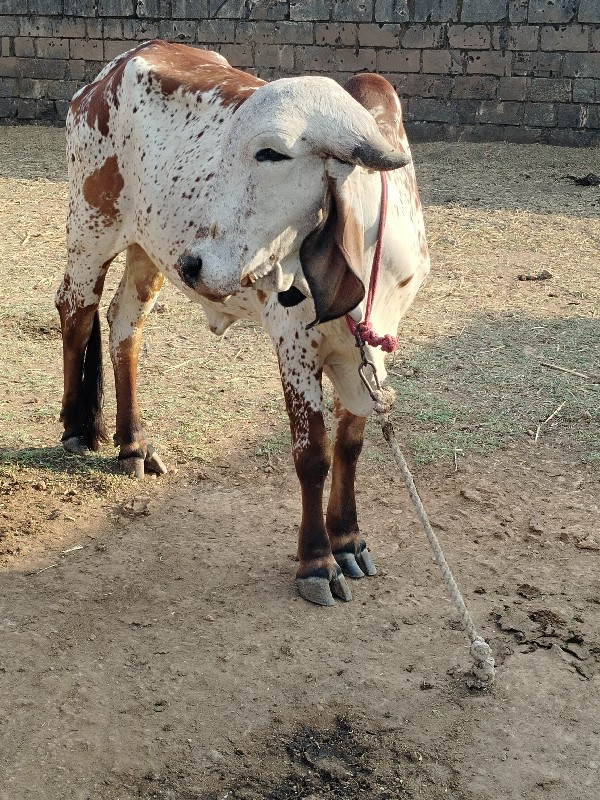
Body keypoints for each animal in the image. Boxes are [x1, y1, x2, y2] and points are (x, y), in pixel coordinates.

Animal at [56, 40, 428, 608]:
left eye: (271, 153)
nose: (194, 264)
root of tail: (107, 74)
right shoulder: (294, 345)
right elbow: (312, 453)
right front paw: (316, 562)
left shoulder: (373, 351)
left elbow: (351, 443)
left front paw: (348, 540)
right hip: (90, 230)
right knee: (75, 313)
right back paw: (77, 428)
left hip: (148, 251)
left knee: (123, 327)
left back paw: (133, 443)